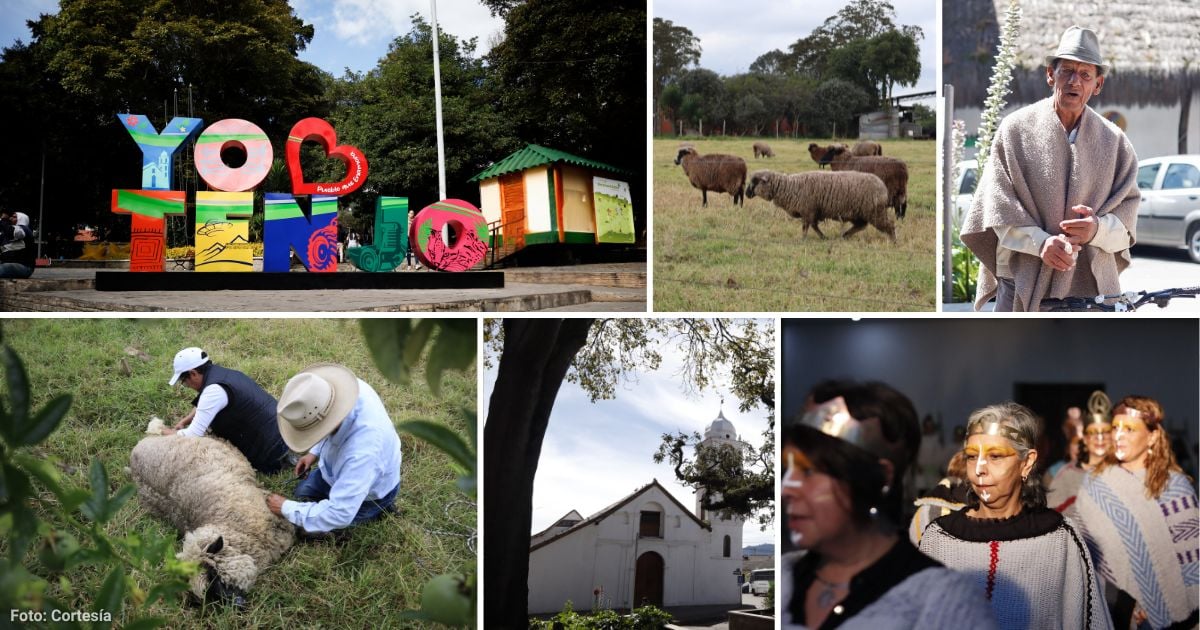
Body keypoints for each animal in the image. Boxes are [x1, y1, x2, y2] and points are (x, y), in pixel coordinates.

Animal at [744, 166, 897, 241]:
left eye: (755, 181)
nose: (746, 194)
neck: (789, 187)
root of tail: (883, 187)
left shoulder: (808, 210)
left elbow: (806, 227)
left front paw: (803, 239)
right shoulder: (812, 212)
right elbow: (813, 226)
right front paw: (823, 237)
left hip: (874, 212)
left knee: (889, 225)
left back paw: (893, 240)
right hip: (860, 213)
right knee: (860, 225)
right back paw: (845, 236)